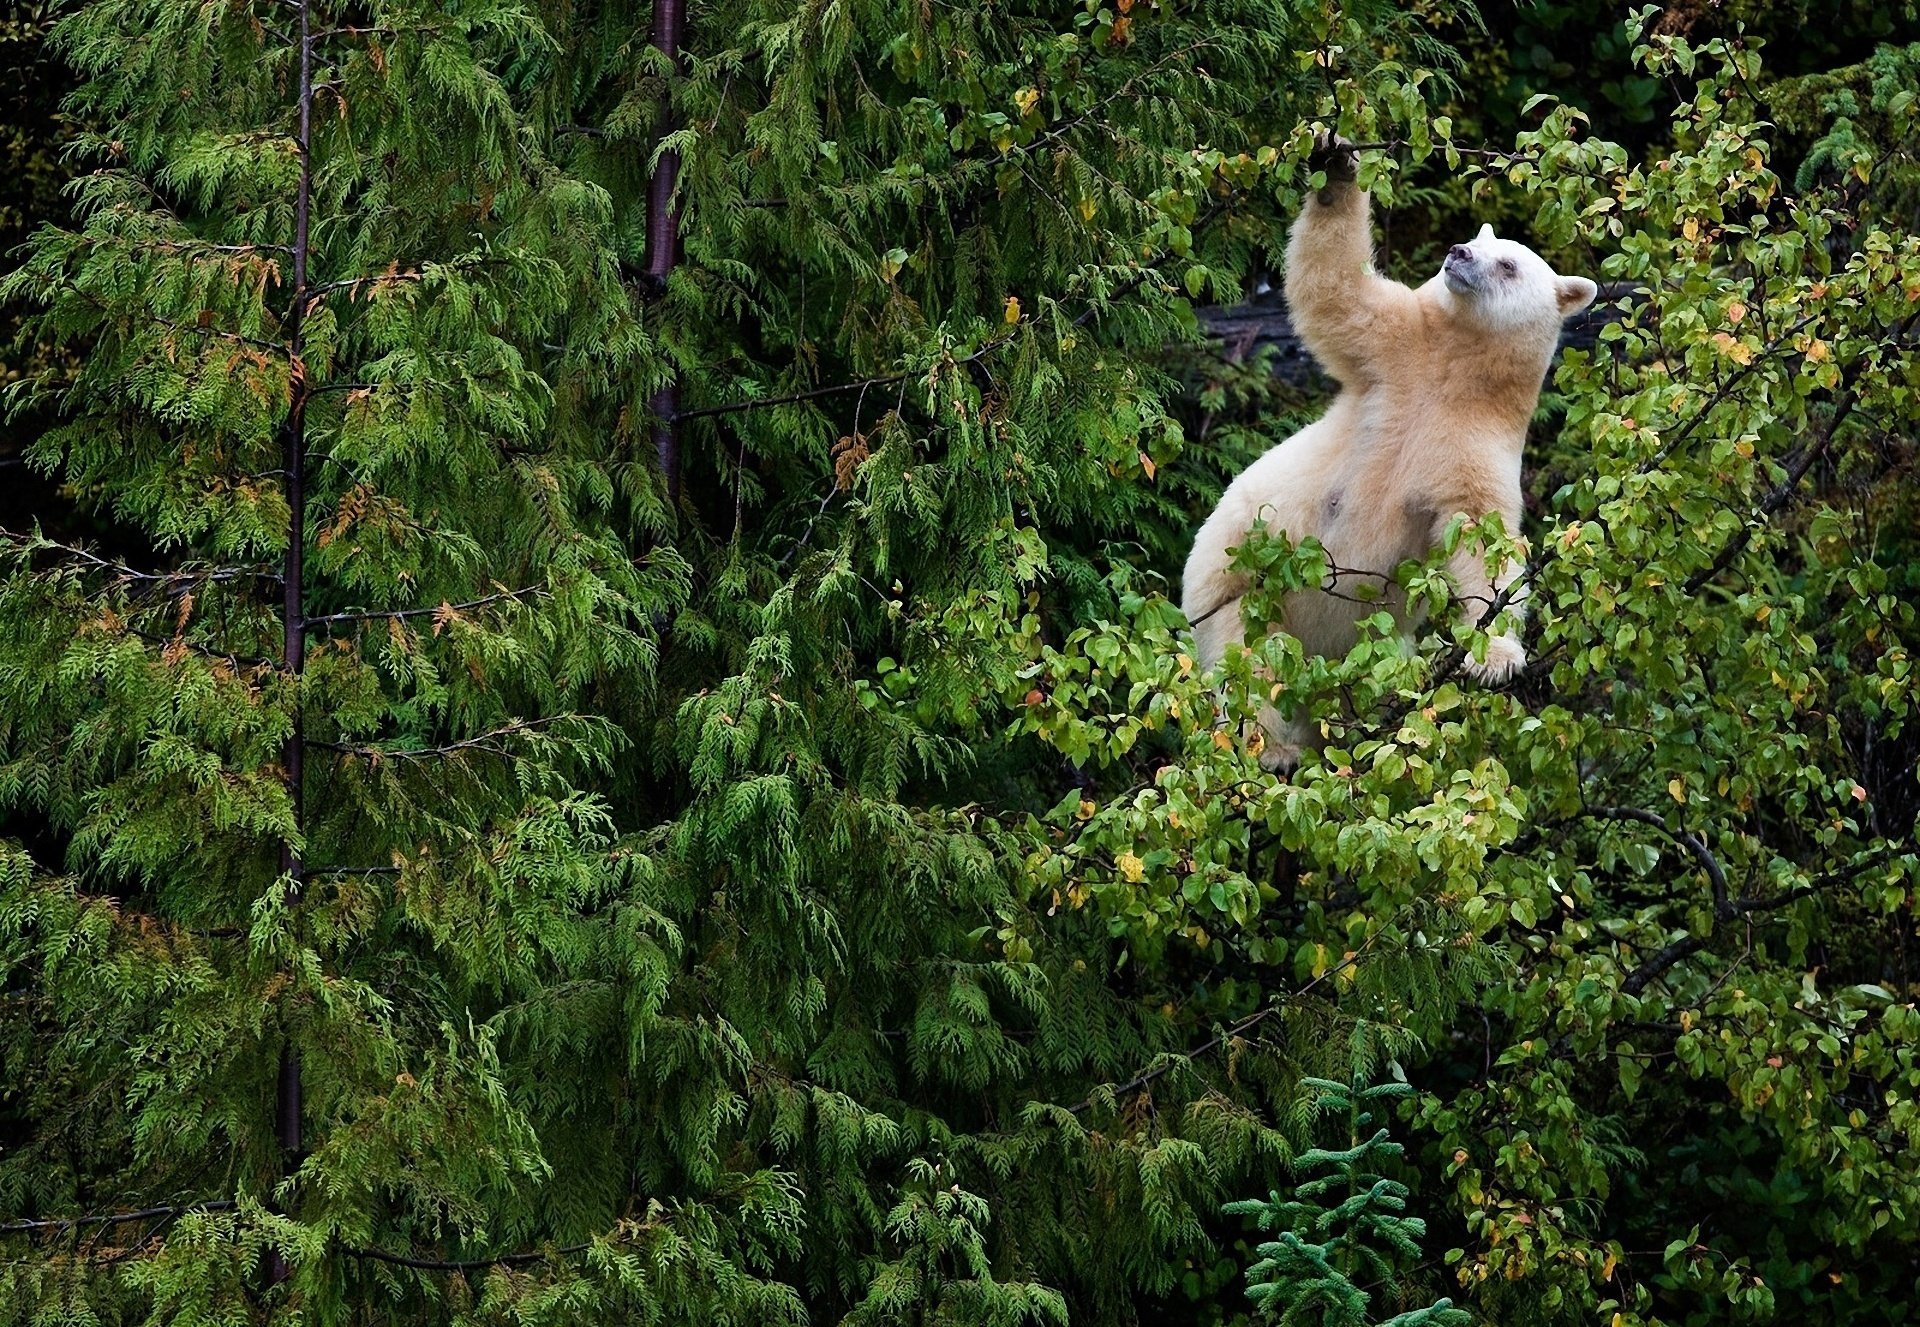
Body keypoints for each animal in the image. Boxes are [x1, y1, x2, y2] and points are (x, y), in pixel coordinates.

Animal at [1175, 135, 1597, 768]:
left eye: (1508, 262)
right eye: (1477, 239)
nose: (1458, 253)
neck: (1453, 371)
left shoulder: (1478, 443)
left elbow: (1483, 538)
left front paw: (1494, 658)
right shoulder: (1392, 354)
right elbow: (1337, 293)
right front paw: (1335, 164)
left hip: (1365, 652)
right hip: (1231, 587)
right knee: (1247, 662)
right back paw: (1274, 748)